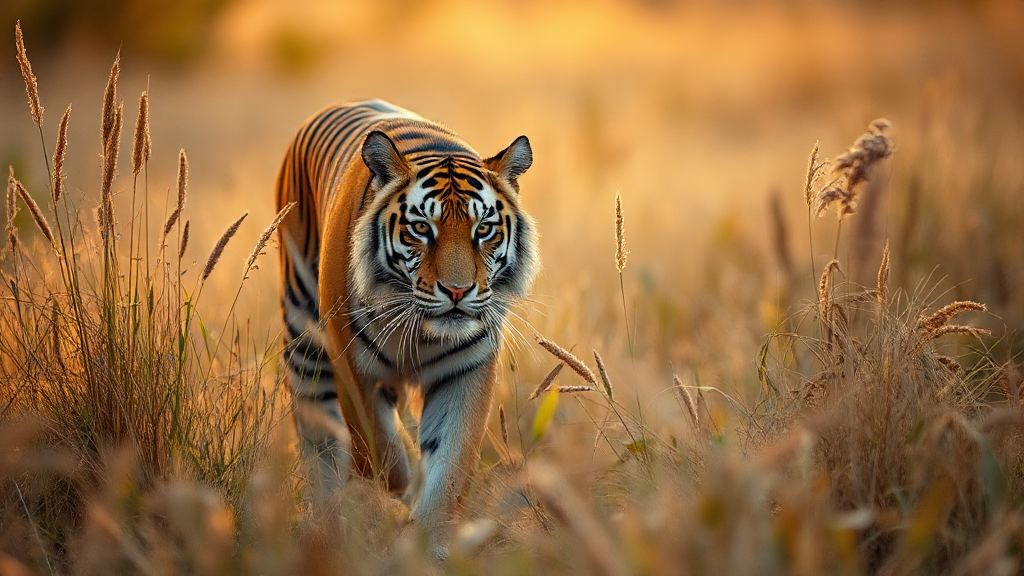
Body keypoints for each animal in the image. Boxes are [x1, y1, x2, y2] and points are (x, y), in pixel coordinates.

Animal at [275, 99, 538, 554]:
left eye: (483, 229)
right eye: (421, 228)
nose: (457, 290)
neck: (420, 328)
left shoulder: (466, 369)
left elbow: (450, 460)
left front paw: (431, 538)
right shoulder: (352, 365)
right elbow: (378, 445)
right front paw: (400, 483)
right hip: (305, 339)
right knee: (319, 437)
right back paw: (326, 520)